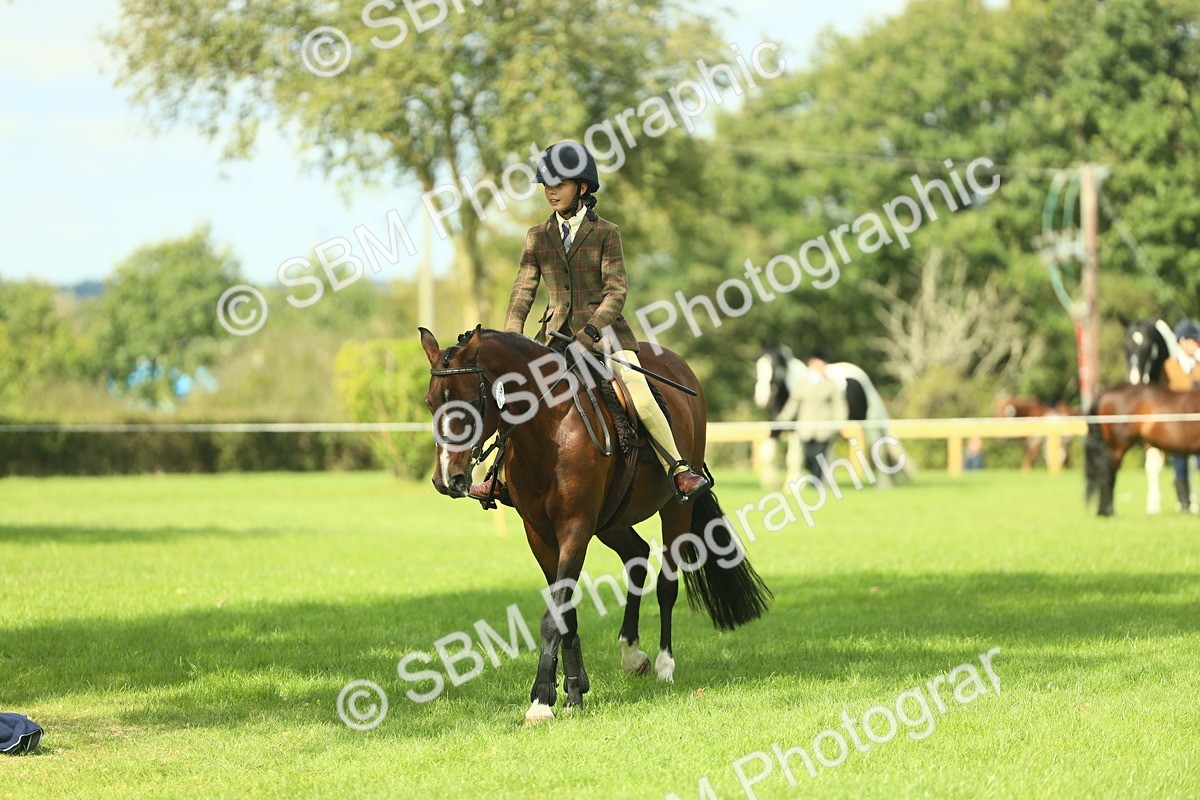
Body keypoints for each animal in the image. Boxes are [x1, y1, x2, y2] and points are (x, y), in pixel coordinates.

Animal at [419, 326, 772, 722]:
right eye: (430, 403)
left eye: (471, 402)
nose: (447, 479)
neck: (550, 429)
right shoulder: (539, 534)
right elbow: (565, 612)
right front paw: (574, 689)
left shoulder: (575, 527)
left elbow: (554, 614)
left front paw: (542, 701)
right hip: (611, 523)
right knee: (637, 556)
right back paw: (632, 654)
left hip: (673, 511)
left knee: (666, 583)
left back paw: (664, 665)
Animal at [754, 345, 907, 487]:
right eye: (758, 365)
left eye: (775, 365)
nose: (761, 396)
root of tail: (864, 379)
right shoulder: (775, 427)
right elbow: (767, 454)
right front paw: (771, 483)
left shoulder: (797, 431)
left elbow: (793, 458)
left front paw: (791, 485)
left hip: (870, 424)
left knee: (879, 451)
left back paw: (883, 485)